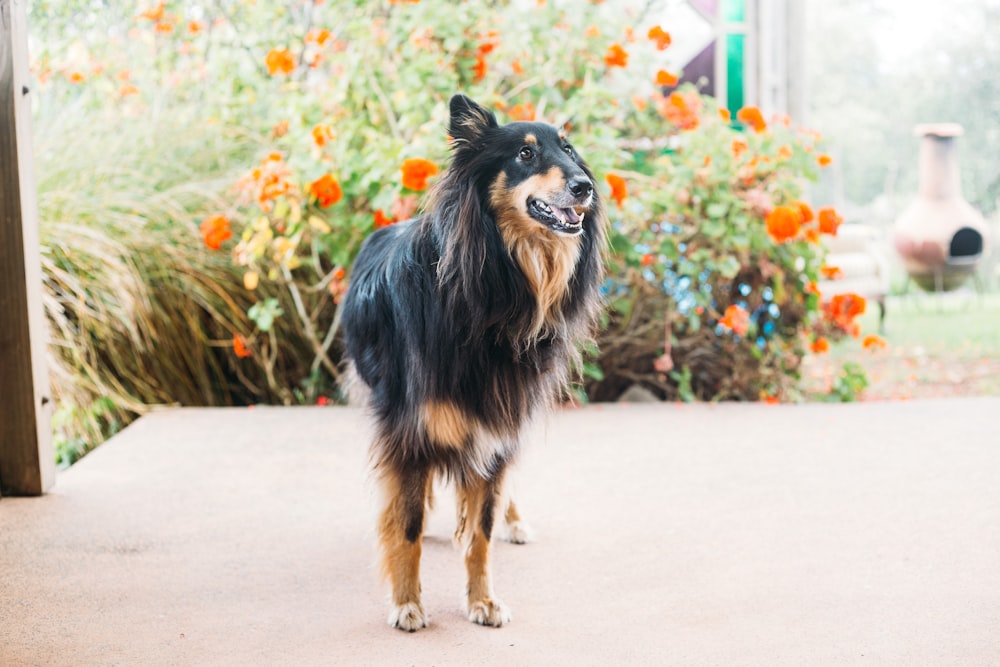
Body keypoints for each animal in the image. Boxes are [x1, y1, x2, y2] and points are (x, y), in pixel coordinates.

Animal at [340, 92, 604, 632]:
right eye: (525, 154)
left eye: (569, 150)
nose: (585, 187)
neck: (489, 296)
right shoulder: (408, 428)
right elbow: (408, 523)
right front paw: (407, 603)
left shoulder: (498, 423)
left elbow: (481, 528)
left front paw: (483, 601)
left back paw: (513, 519)